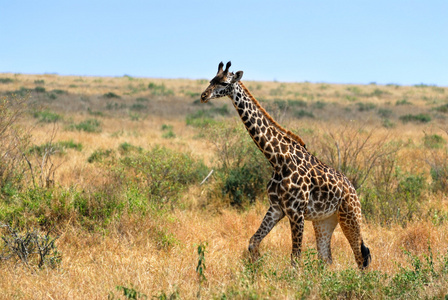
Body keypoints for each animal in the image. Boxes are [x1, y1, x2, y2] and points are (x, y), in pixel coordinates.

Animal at [200, 61, 372, 270]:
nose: (203, 96)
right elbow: (253, 242)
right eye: (211, 80)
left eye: (224, 82)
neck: (277, 160)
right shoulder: (277, 208)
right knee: (326, 257)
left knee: (361, 256)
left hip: (350, 216)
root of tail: (353, 188)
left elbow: (295, 258)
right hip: (325, 220)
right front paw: (255, 270)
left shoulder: (296, 212)